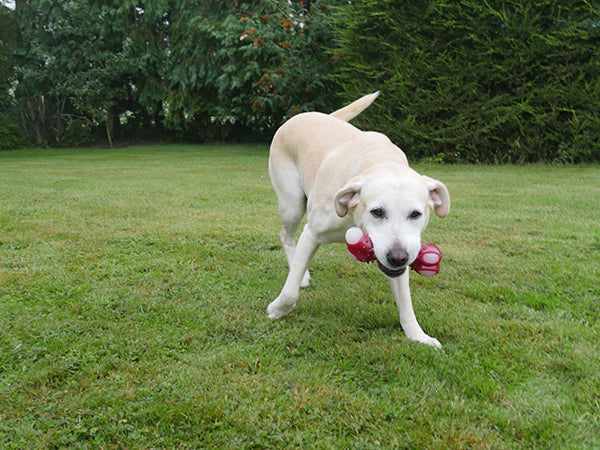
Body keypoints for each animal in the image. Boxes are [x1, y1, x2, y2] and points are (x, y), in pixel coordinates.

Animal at [264, 92, 448, 348]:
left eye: (416, 214)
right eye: (377, 212)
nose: (398, 257)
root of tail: (305, 115)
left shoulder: (404, 251)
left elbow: (405, 301)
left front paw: (417, 335)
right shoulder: (312, 234)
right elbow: (290, 290)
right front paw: (278, 309)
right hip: (291, 203)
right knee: (286, 236)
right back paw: (301, 275)